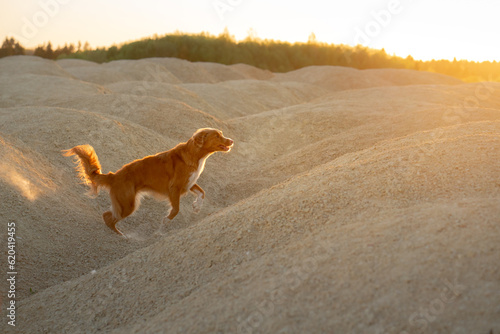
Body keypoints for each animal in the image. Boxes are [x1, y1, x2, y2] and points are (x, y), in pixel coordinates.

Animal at [63, 127, 233, 235]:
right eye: (217, 136)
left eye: (221, 134)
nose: (231, 140)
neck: (195, 155)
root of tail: (114, 176)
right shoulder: (174, 188)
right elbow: (175, 210)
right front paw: (164, 224)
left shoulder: (188, 184)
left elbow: (202, 193)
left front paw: (197, 207)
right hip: (128, 204)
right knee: (109, 217)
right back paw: (120, 235)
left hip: (126, 204)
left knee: (107, 215)